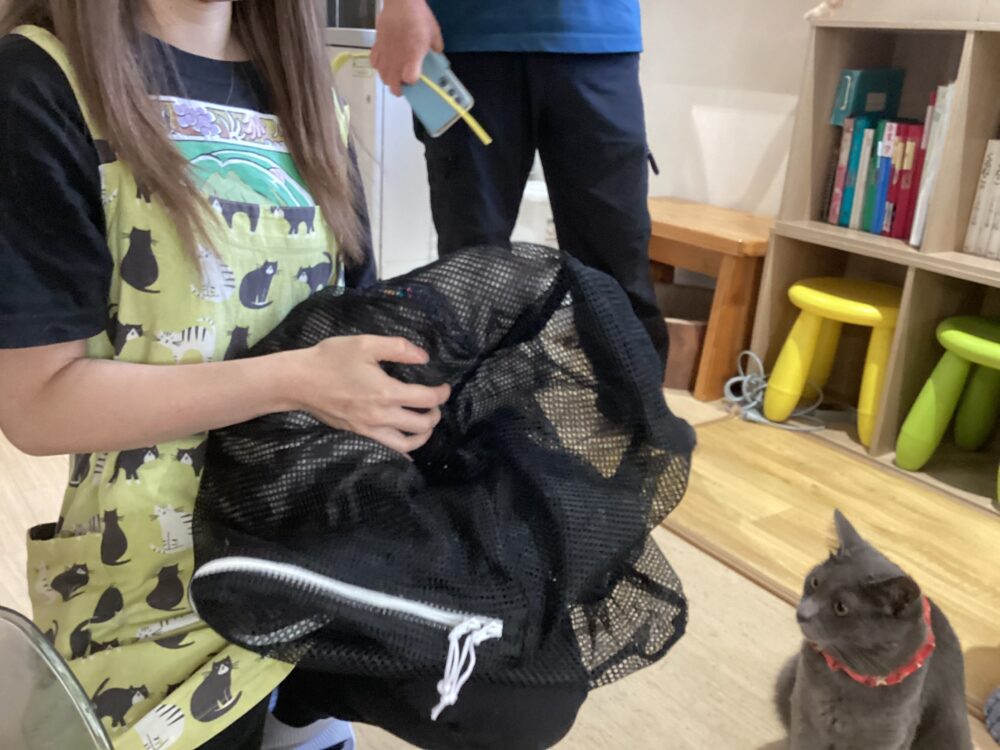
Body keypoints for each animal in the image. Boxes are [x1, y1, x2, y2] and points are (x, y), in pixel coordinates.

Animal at [776, 511, 972, 750]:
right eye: (814, 582)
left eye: (841, 607)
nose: (802, 613)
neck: (849, 676)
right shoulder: (805, 715)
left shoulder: (888, 737)